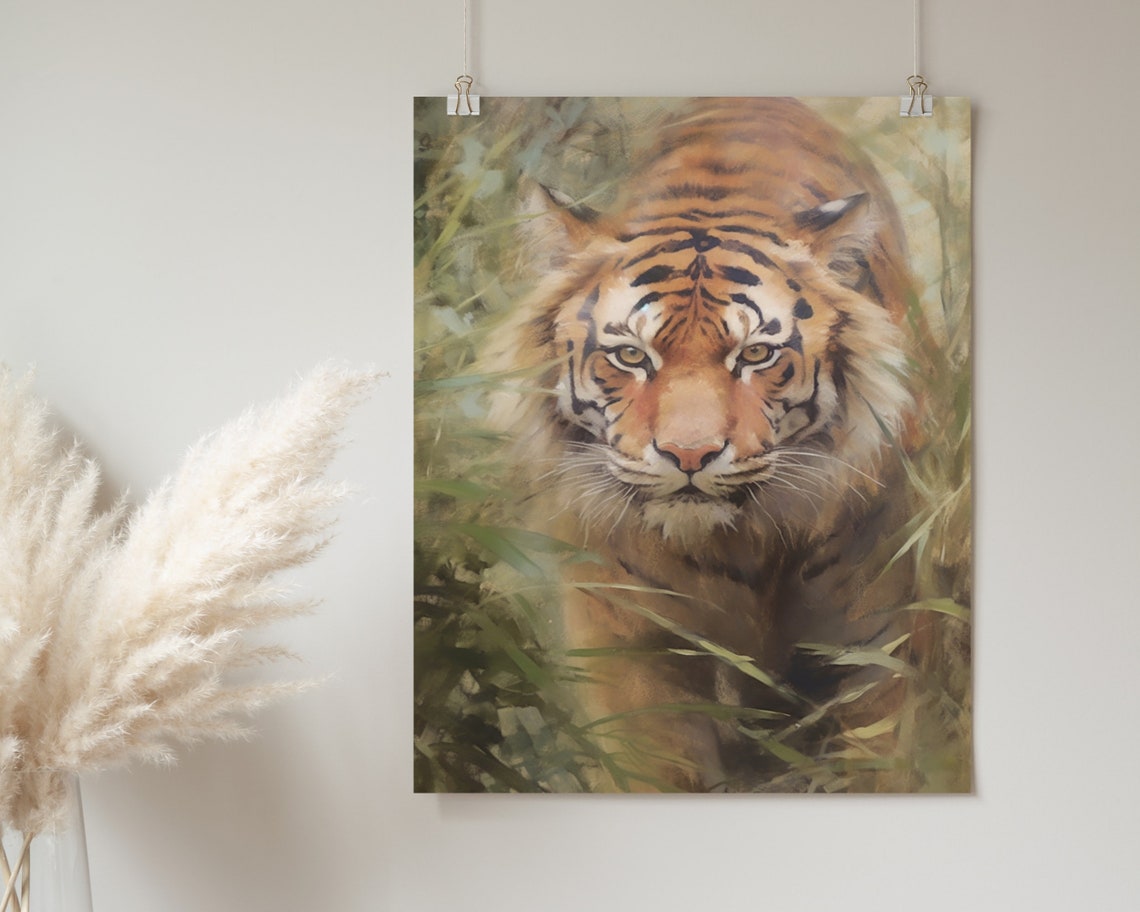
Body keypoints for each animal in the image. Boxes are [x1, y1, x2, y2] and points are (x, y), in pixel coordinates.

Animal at [481, 97, 928, 791]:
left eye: (757, 355)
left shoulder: (869, 638)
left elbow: (875, 758)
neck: (731, 548)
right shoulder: (628, 641)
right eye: (631, 356)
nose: (689, 456)